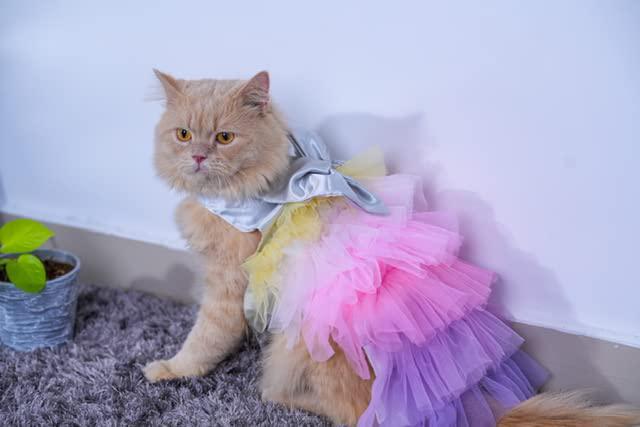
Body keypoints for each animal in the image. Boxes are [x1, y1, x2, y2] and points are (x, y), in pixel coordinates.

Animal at [144, 70, 639, 427]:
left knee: (355, 416)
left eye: (224, 138)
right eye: (183, 135)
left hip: (298, 346)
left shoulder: (228, 285)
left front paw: (169, 369)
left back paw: (279, 397)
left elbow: (203, 340)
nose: (198, 157)